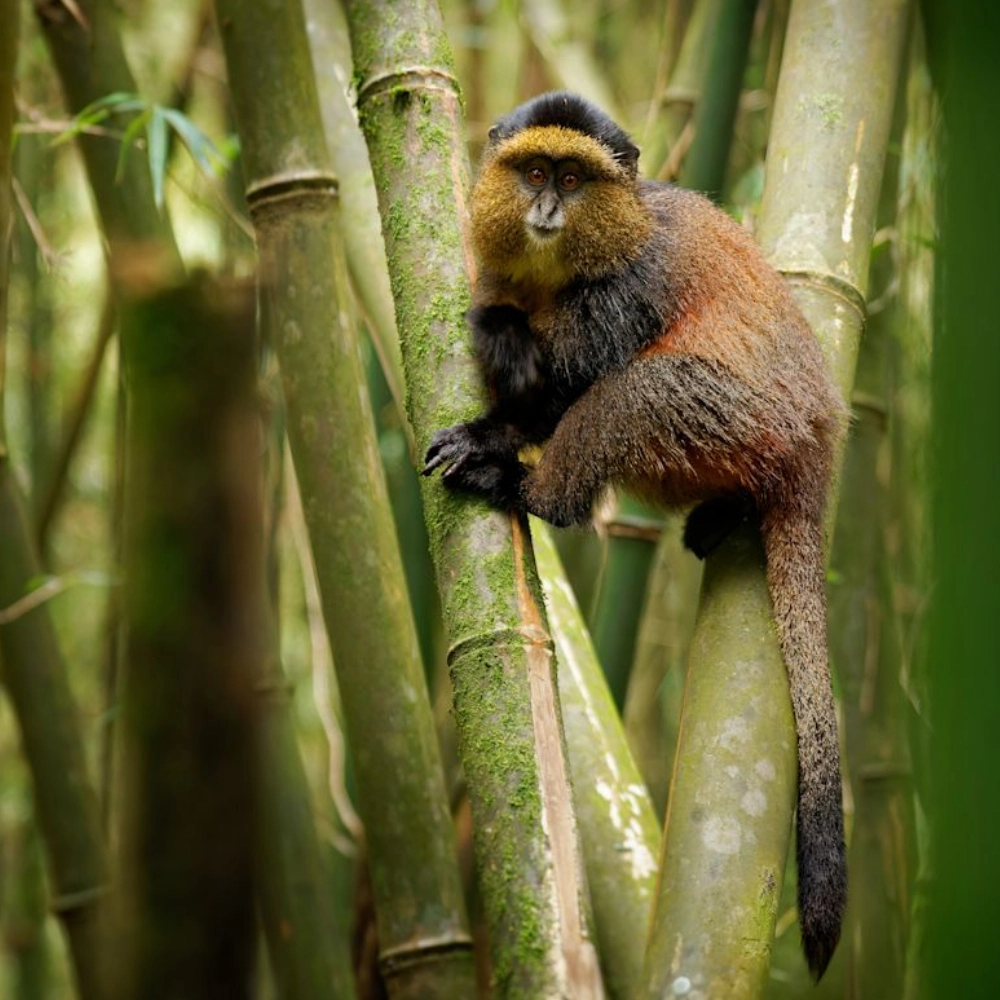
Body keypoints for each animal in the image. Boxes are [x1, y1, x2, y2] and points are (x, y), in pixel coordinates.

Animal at [422, 91, 848, 979]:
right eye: (535, 172)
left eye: (575, 180)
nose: (547, 209)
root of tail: (819, 443)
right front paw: (500, 337)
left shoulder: (626, 291)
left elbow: (567, 392)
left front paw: (488, 435)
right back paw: (725, 515)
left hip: (730, 415)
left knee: (630, 395)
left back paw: (529, 490)